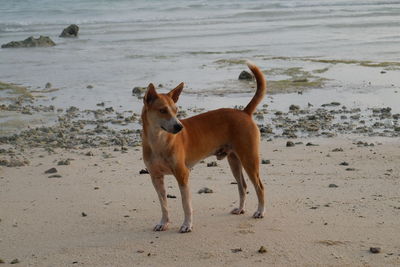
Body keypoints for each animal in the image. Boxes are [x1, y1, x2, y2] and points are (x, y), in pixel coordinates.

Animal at [141, 61, 266, 233]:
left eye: (176, 110)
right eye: (162, 110)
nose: (179, 127)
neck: (158, 141)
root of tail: (244, 112)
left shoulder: (182, 174)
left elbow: (186, 204)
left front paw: (187, 225)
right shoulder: (155, 177)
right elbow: (163, 204)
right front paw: (164, 222)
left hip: (249, 159)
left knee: (260, 187)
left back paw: (260, 211)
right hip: (234, 160)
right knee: (242, 186)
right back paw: (241, 209)